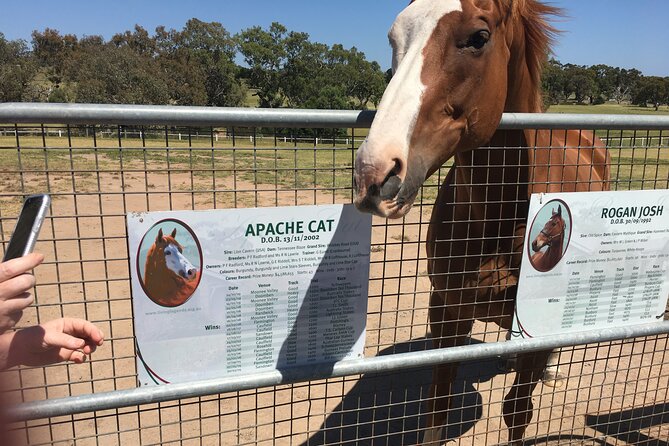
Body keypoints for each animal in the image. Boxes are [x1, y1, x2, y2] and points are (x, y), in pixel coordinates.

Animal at [353, 1, 610, 444]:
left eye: (478, 38)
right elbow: (437, 410)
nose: (374, 173)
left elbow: (517, 412)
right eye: (394, 38)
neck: (501, 216)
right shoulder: (447, 310)